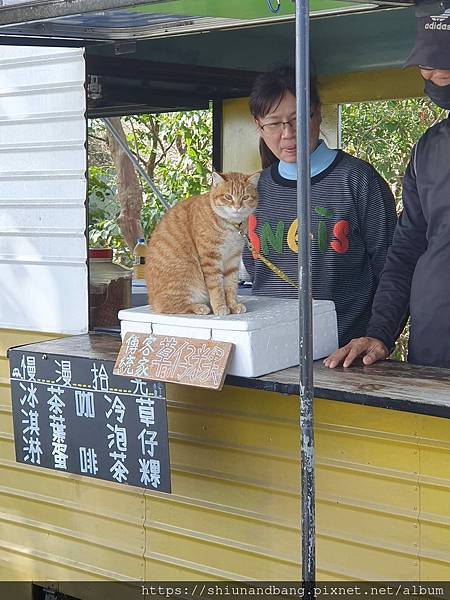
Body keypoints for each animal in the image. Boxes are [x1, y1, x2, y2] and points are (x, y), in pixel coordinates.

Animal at [146, 171, 260, 316]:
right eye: (228, 196)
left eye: (245, 197)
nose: (237, 207)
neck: (230, 226)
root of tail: (152, 301)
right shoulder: (210, 259)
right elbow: (216, 287)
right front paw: (220, 306)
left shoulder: (233, 260)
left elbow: (231, 287)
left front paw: (233, 305)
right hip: (186, 275)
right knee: (168, 306)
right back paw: (199, 307)